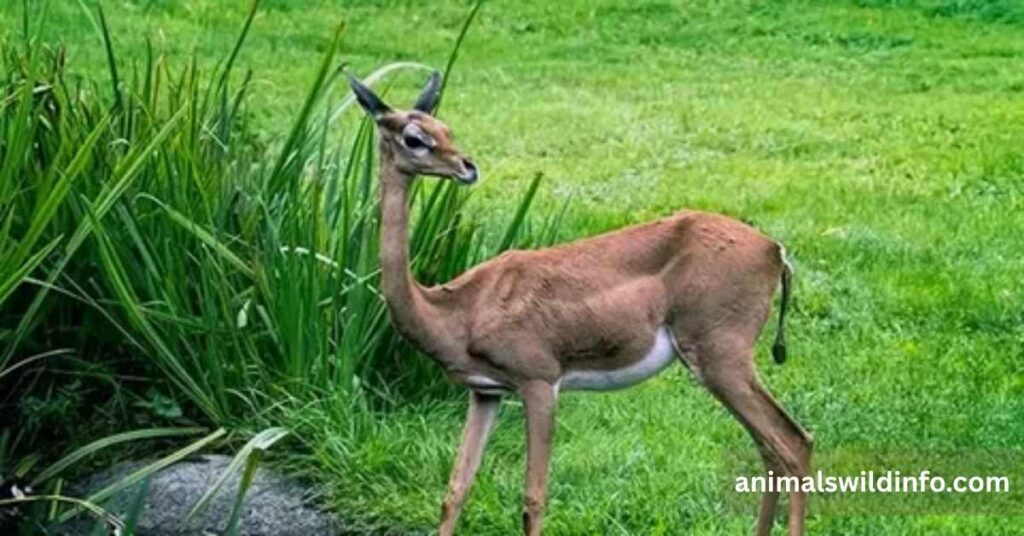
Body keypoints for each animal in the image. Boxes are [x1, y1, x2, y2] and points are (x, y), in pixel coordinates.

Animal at [347, 71, 813, 536]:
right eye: (415, 136)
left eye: (443, 130)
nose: (467, 166)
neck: (456, 311)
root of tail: (775, 251)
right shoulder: (485, 391)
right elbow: (455, 489)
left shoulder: (539, 380)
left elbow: (533, 498)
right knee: (769, 447)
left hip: (720, 354)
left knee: (793, 441)